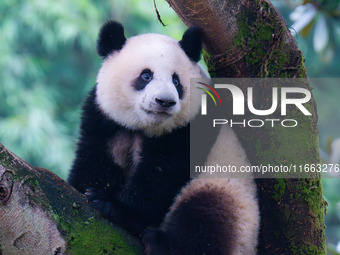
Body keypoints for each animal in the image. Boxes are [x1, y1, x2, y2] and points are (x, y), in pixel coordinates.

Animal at [69, 20, 260, 255]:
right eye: (146, 76)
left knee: (206, 215)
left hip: (231, 196)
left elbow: (163, 174)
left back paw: (160, 242)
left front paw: (111, 205)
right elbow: (96, 159)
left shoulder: (190, 127)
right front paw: (87, 189)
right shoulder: (105, 119)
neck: (145, 126)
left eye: (176, 81)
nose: (165, 101)